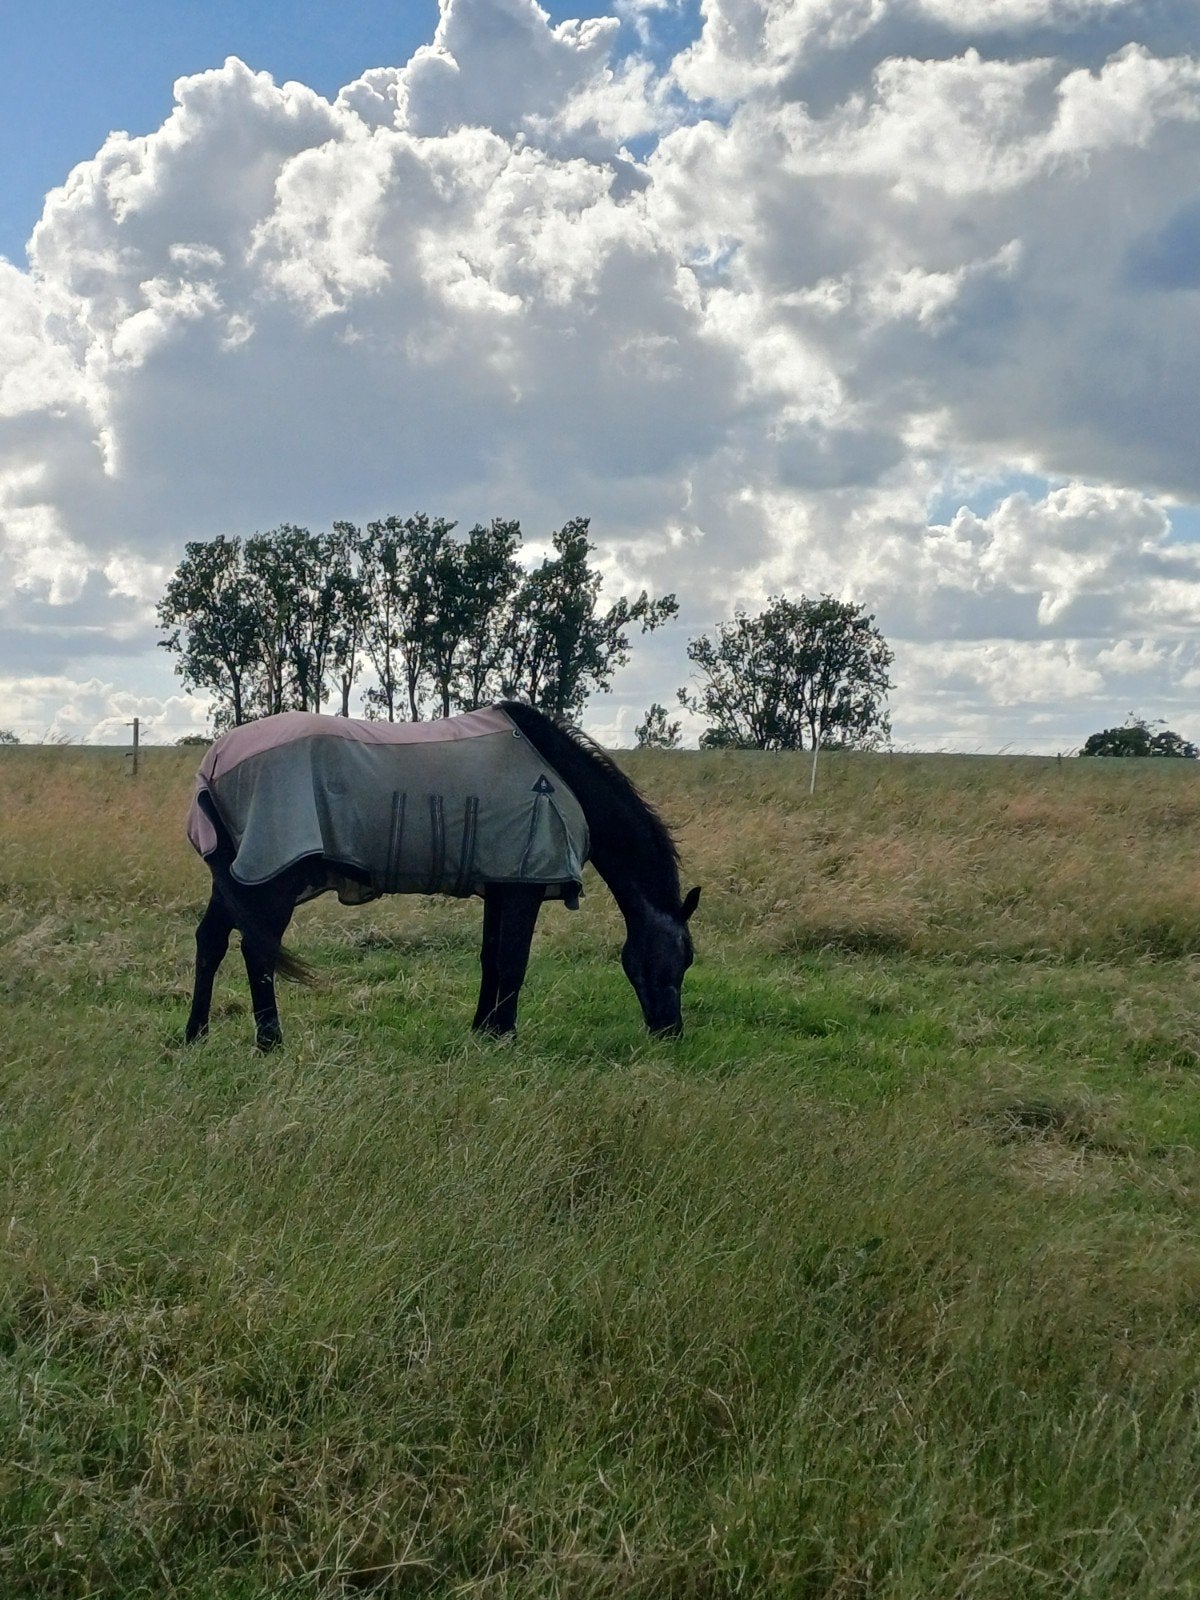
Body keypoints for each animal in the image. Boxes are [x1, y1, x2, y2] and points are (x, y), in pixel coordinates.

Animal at [184, 701, 700, 1049]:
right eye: (680, 958)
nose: (670, 1032)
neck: (558, 780)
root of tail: (214, 761)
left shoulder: (502, 885)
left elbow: (492, 959)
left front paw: (483, 1031)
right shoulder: (525, 888)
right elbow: (513, 961)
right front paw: (505, 1035)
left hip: (238, 880)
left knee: (211, 941)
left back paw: (196, 1034)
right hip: (271, 880)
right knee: (257, 951)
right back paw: (270, 1041)